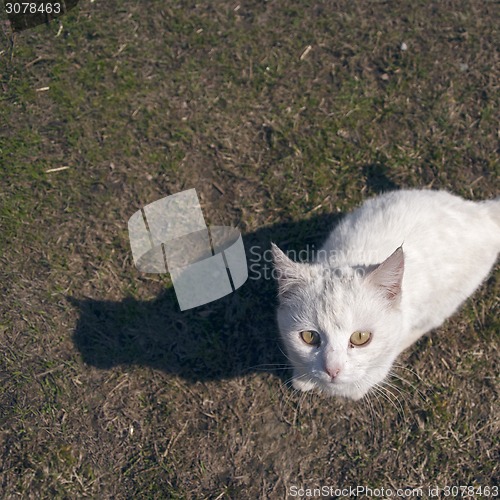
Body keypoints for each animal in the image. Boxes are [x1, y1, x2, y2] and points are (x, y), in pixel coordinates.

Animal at [274, 189, 500, 400]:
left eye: (360, 337)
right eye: (309, 337)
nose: (332, 370)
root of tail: (481, 213)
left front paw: (352, 389)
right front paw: (303, 378)